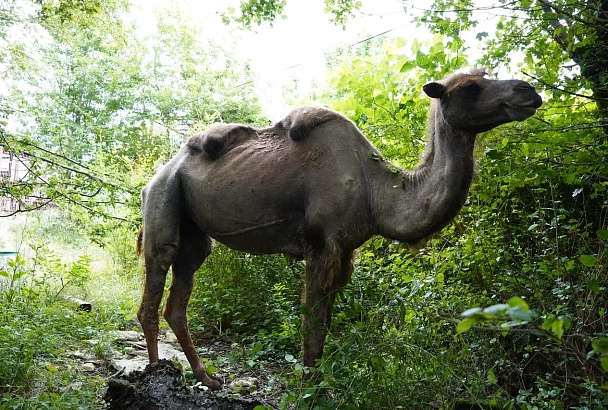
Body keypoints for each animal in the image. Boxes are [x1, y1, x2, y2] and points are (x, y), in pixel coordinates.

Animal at [137, 69, 540, 390]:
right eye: (471, 87)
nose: (528, 91)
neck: (375, 189)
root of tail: (159, 173)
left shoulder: (344, 252)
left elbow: (325, 323)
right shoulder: (321, 244)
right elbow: (313, 326)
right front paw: (310, 391)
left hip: (194, 231)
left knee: (179, 296)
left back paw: (207, 377)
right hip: (164, 195)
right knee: (156, 277)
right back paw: (155, 371)